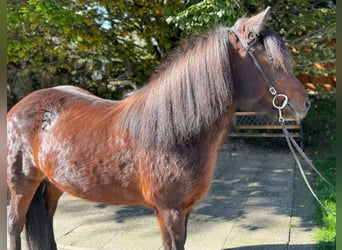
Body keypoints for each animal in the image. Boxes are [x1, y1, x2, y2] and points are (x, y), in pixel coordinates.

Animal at [7, 7, 310, 250]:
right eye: (270, 60)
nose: (305, 103)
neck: (175, 132)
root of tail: (20, 106)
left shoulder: (184, 211)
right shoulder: (169, 211)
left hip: (52, 182)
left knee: (46, 219)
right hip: (21, 183)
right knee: (14, 223)